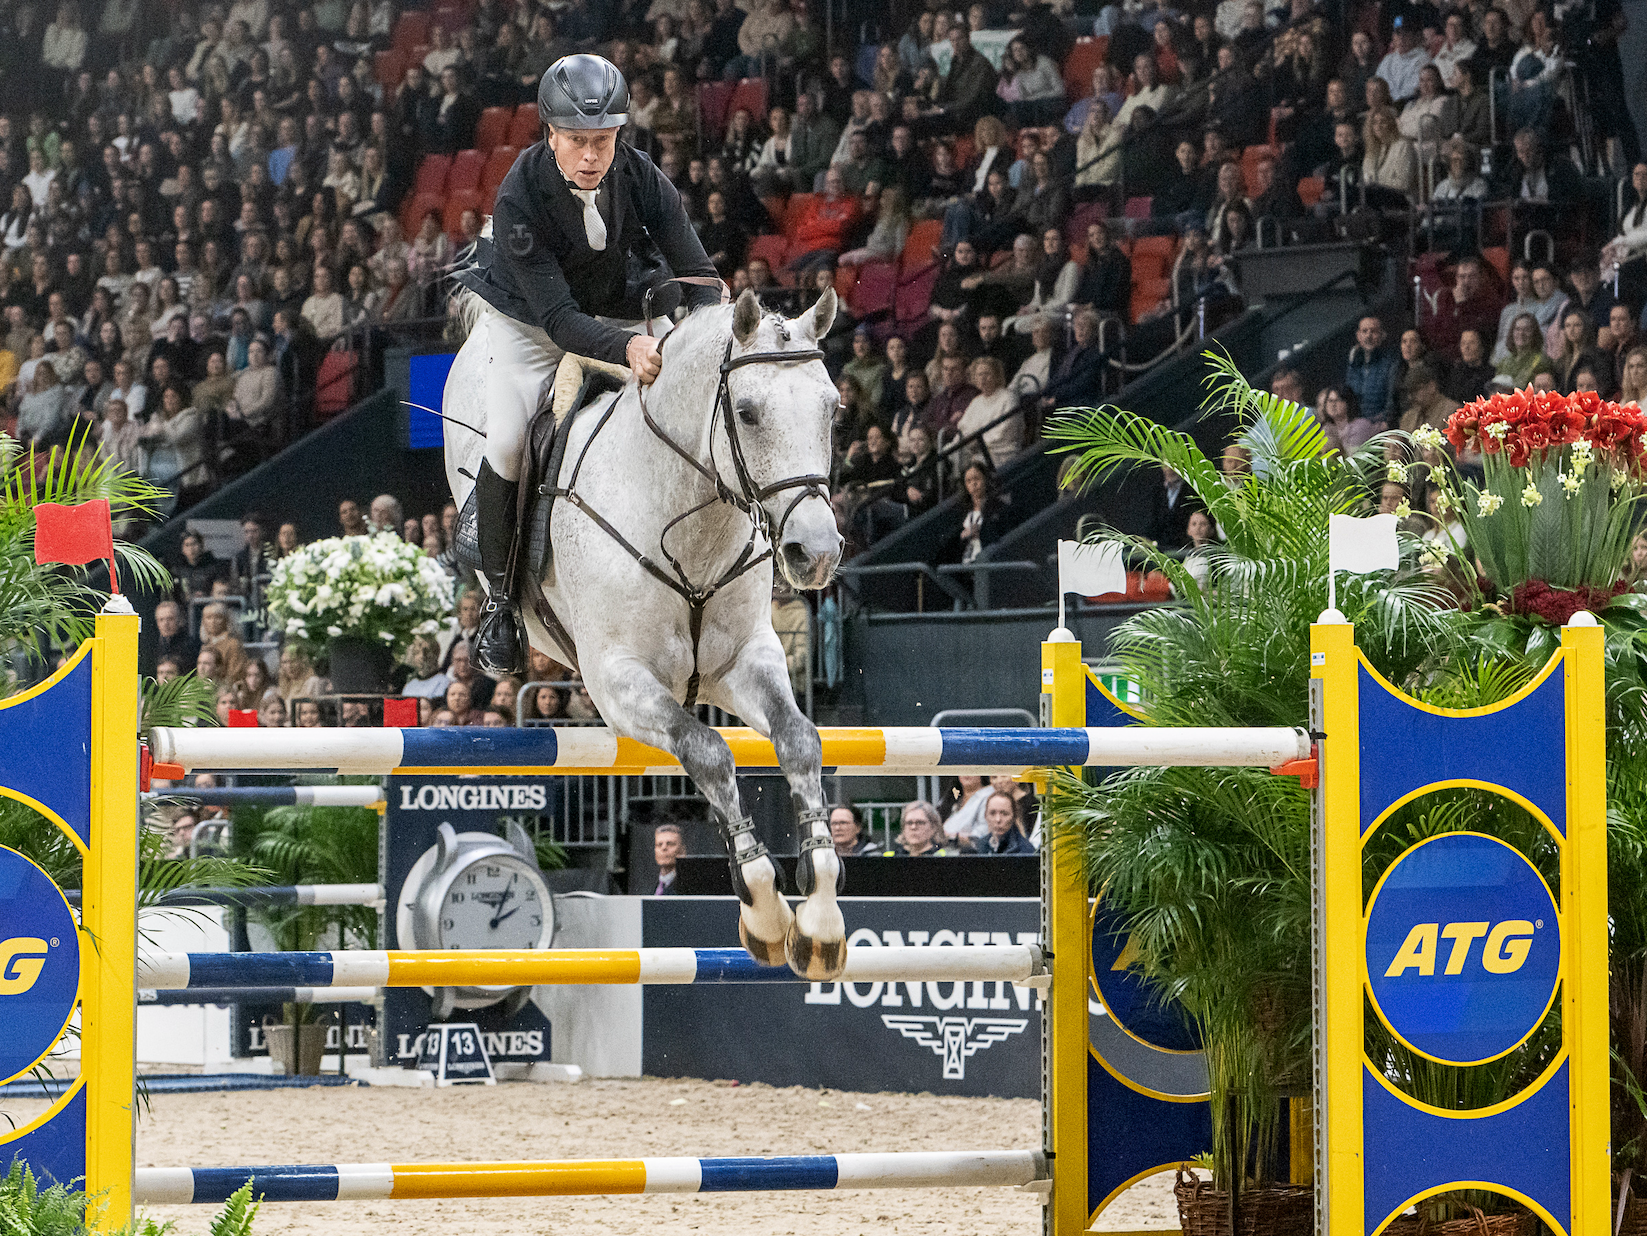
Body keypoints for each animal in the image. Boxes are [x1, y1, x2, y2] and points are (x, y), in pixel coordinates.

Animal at [444, 288, 849, 975]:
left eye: (832, 408)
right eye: (747, 413)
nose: (814, 553)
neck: (689, 518)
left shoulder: (742, 661)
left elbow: (798, 741)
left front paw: (819, 921)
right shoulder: (619, 682)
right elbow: (708, 752)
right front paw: (763, 911)